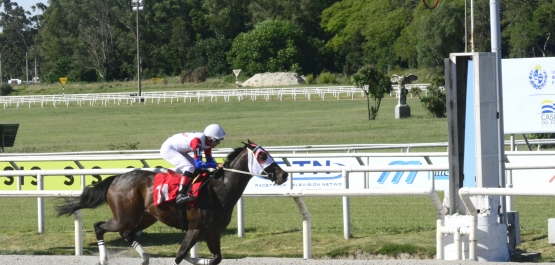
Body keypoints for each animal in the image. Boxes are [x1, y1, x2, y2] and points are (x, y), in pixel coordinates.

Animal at [56, 139, 288, 262]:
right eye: (262, 156)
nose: (283, 175)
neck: (219, 190)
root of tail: (118, 178)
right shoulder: (195, 229)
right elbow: (179, 256)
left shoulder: (212, 233)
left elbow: (215, 258)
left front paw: (199, 259)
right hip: (124, 216)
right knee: (100, 227)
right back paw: (104, 259)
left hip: (145, 217)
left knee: (127, 234)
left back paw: (145, 258)